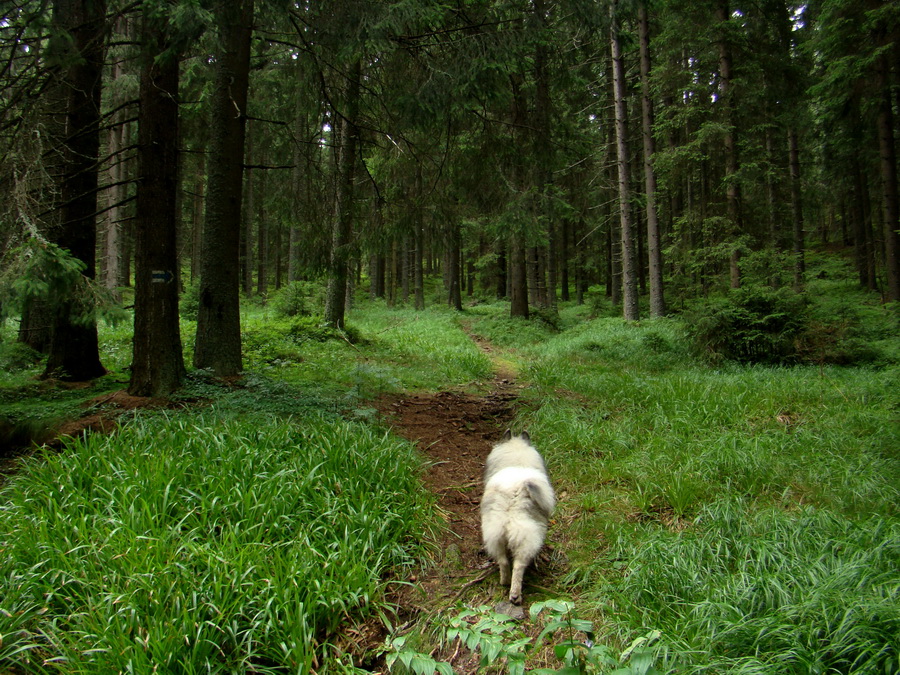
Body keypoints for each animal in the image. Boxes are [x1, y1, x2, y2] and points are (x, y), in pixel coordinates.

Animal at [482, 434, 552, 608]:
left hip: (494, 535)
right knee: (518, 566)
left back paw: (504, 582)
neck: (517, 459)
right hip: (526, 538)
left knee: (503, 562)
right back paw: (515, 595)